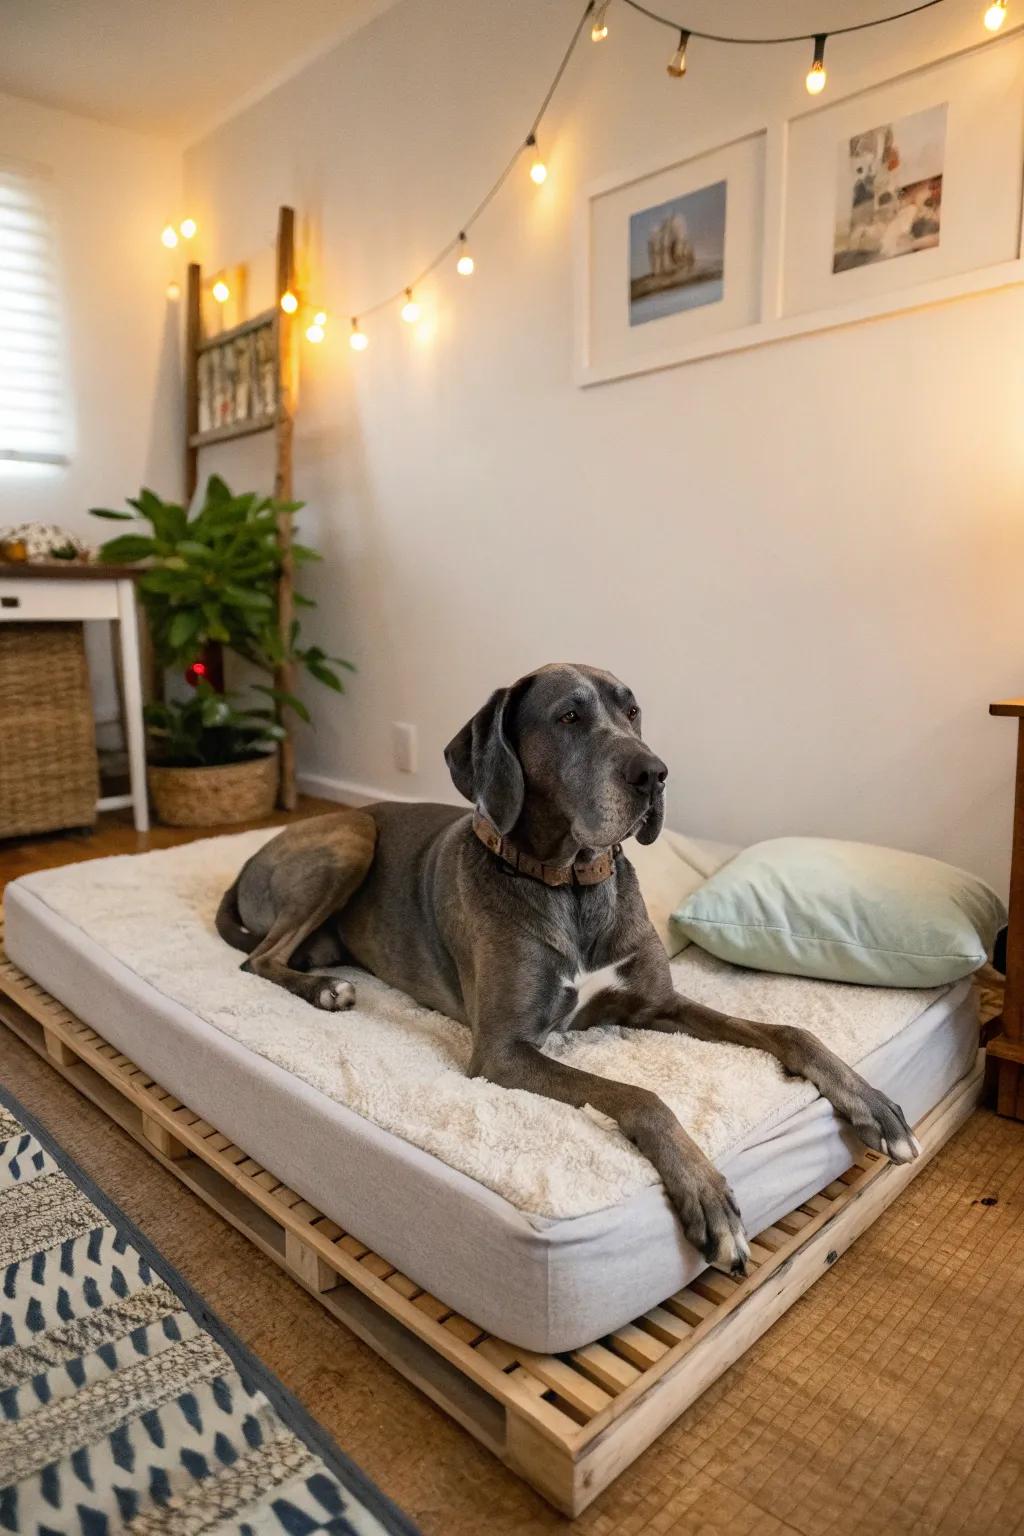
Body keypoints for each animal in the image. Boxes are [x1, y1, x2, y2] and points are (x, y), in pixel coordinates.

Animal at [218, 660, 921, 1271]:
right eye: (570, 717)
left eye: (633, 711)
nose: (656, 774)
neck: (572, 883)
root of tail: (249, 859)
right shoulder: (502, 1051)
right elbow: (640, 1095)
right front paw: (708, 1195)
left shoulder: (657, 1004)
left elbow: (789, 1031)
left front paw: (872, 1103)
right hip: (350, 838)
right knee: (257, 959)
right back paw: (325, 989)